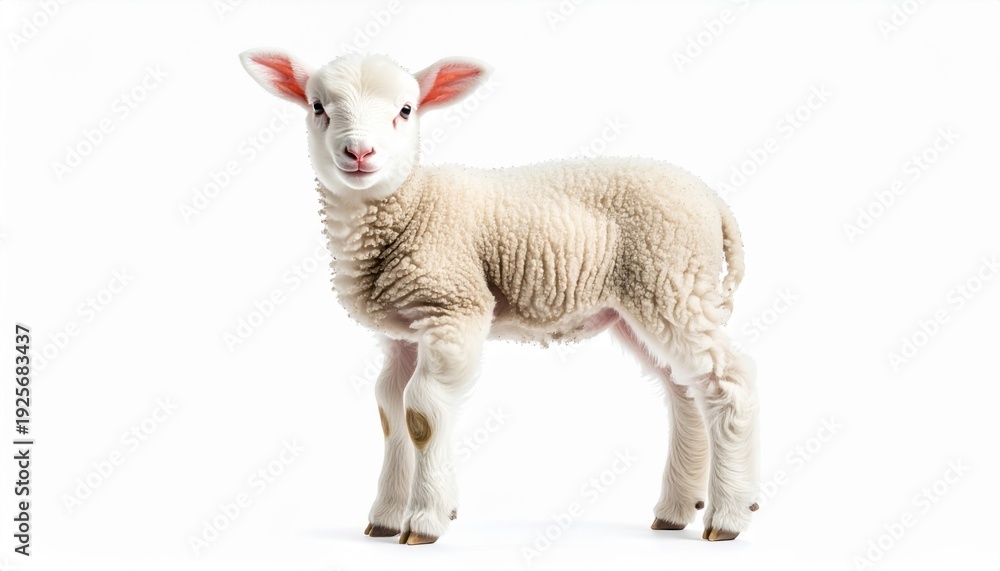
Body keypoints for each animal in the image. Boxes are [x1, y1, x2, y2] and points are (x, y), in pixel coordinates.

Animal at [239, 48, 760, 545]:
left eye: (406, 110)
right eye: (317, 107)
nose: (360, 151)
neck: (410, 203)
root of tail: (714, 202)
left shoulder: (454, 308)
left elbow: (421, 413)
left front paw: (424, 520)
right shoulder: (401, 333)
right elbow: (390, 411)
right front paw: (386, 518)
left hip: (671, 279)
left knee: (727, 382)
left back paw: (728, 515)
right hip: (640, 302)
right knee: (685, 391)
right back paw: (678, 509)